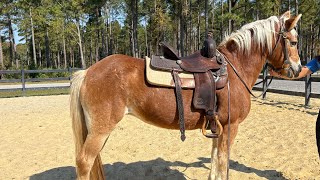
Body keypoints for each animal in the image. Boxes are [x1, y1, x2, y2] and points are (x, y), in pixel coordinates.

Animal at [70, 11, 302, 179]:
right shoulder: (231, 127)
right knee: (84, 162)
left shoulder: (218, 128)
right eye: (293, 42)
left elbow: (214, 161)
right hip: (100, 130)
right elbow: (222, 163)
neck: (235, 68)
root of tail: (88, 72)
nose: (298, 69)